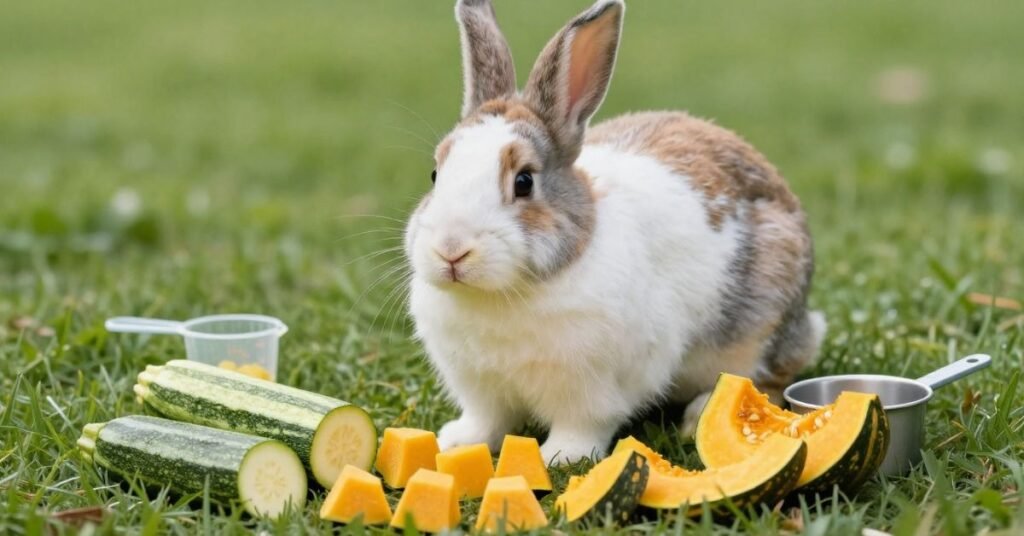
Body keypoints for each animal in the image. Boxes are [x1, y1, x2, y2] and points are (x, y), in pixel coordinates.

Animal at [403, 0, 826, 465]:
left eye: (524, 182)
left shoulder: (593, 387)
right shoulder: (481, 388)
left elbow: (584, 424)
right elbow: (488, 420)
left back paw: (698, 416)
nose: (451, 250)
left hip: (762, 327)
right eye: (435, 174)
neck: (502, 296)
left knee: (768, 378)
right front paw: (456, 442)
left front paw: (560, 457)